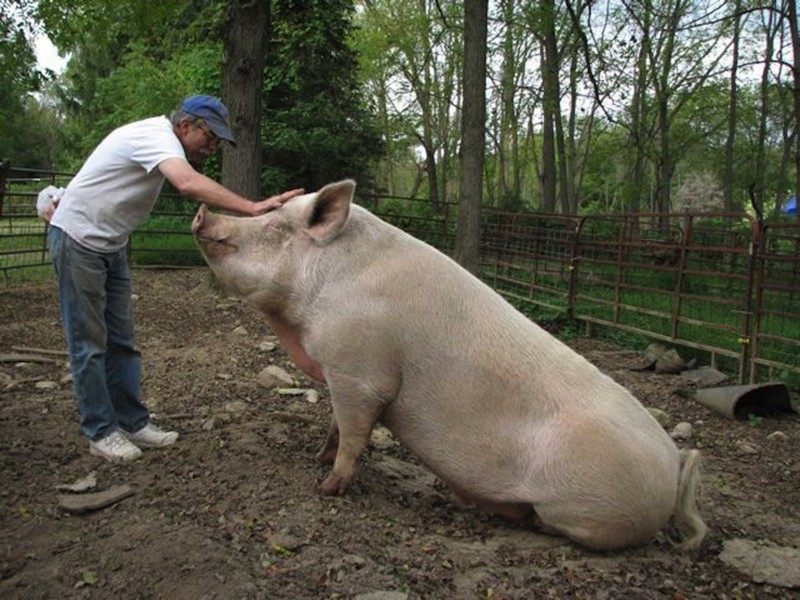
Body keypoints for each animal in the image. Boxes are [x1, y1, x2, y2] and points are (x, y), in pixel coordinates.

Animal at [194, 179, 708, 552]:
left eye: (275, 225)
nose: (202, 213)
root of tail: (675, 467)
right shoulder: (342, 374)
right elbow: (335, 423)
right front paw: (317, 457)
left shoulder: (362, 373)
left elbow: (355, 433)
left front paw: (327, 486)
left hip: (588, 510)